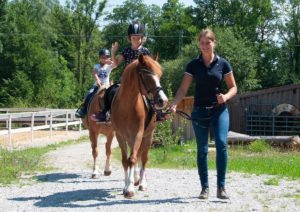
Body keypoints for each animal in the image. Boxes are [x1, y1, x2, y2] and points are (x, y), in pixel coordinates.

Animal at [110, 53, 169, 198]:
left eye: (159, 75)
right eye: (147, 76)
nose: (163, 100)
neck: (126, 106)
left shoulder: (138, 134)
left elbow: (133, 159)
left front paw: (130, 189)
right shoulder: (120, 136)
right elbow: (125, 160)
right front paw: (127, 185)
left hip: (148, 136)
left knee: (143, 158)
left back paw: (142, 183)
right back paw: (136, 178)